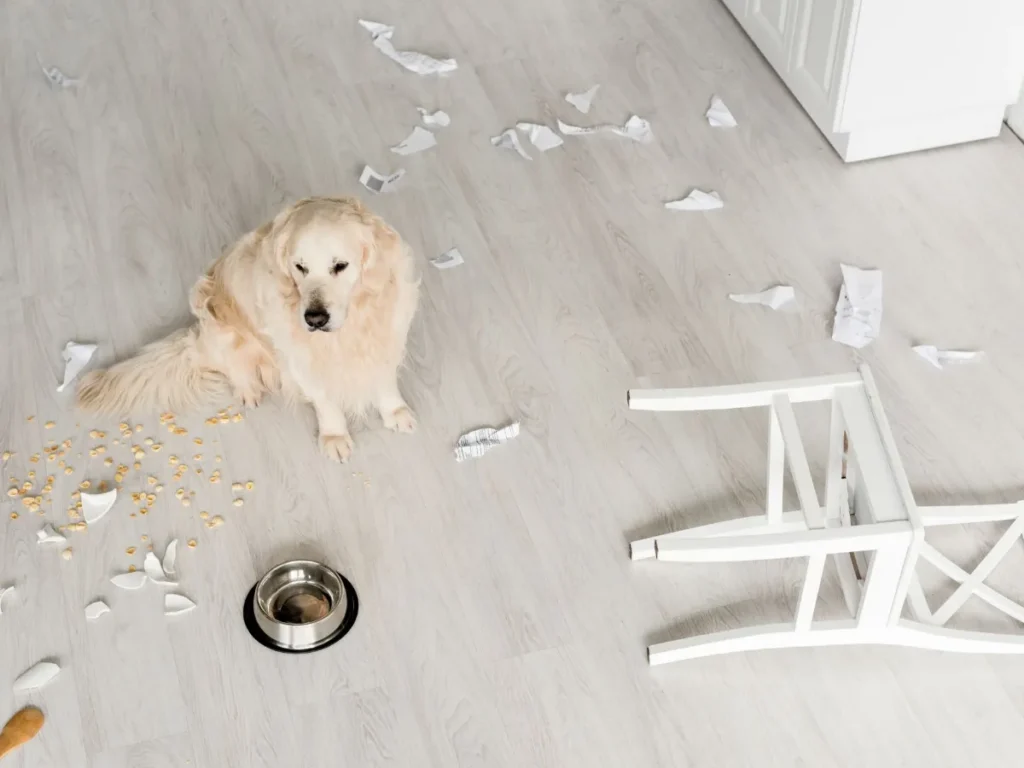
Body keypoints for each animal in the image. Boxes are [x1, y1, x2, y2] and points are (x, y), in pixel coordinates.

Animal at [74, 198, 419, 462]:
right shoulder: (301, 362)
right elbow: (326, 402)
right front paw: (334, 437)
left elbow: (384, 382)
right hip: (222, 330)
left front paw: (395, 412)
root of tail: (196, 337)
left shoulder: (387, 338)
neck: (353, 326)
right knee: (235, 367)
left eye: (341, 266)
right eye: (300, 267)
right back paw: (249, 390)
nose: (314, 319)